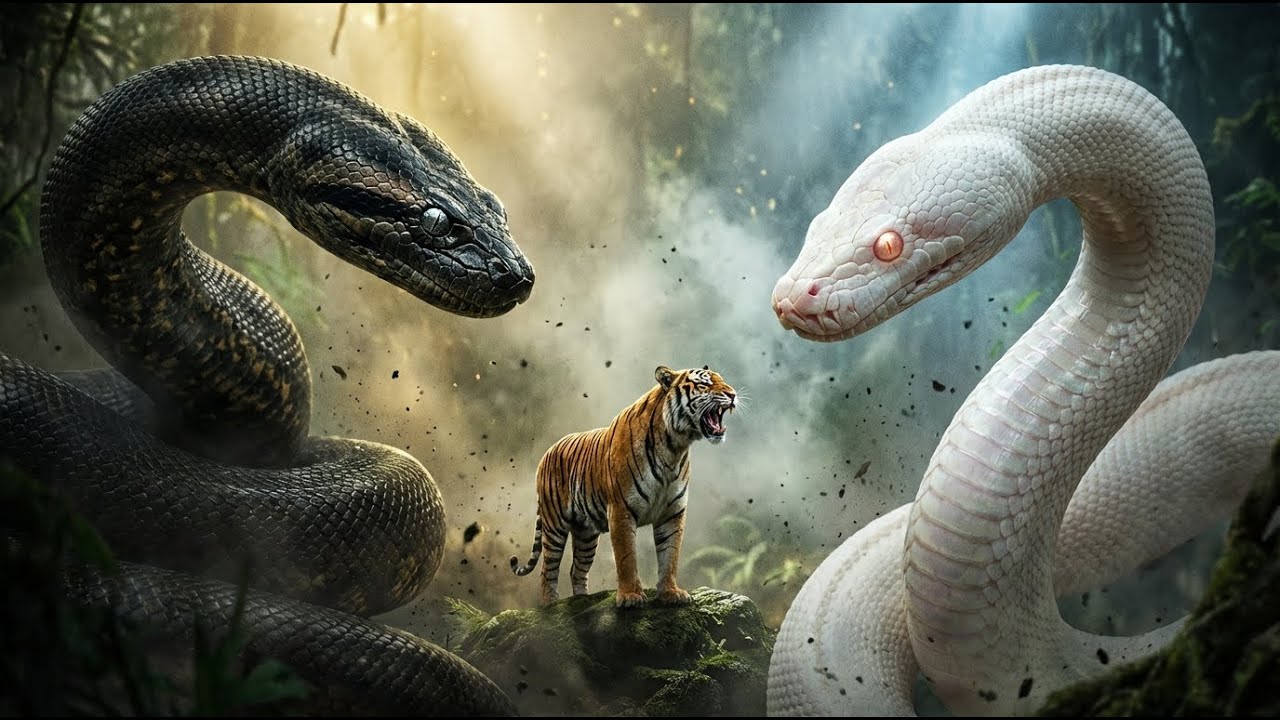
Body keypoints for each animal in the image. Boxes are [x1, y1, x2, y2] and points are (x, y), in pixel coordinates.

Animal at [510, 365, 737, 608]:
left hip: (586, 534)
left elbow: (670, 555)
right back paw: (551, 606)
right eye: (704, 384)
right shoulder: (621, 509)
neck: (674, 448)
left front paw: (671, 593)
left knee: (576, 570)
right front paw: (630, 597)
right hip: (555, 525)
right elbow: (627, 557)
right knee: (548, 570)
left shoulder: (672, 512)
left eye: (723, 380)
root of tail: (548, 450)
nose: (733, 395)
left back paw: (581, 601)